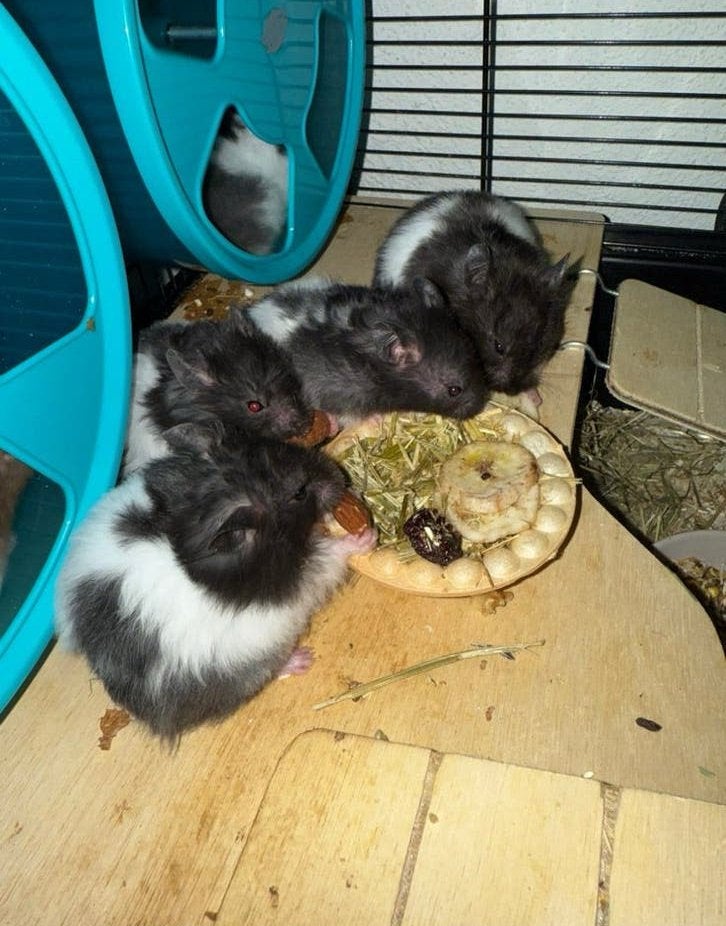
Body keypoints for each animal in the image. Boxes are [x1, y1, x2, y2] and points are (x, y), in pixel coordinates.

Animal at [55, 422, 376, 739]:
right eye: (299, 492)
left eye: (274, 445)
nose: (339, 477)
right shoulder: (302, 576)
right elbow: (331, 556)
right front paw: (367, 537)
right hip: (250, 659)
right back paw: (303, 659)